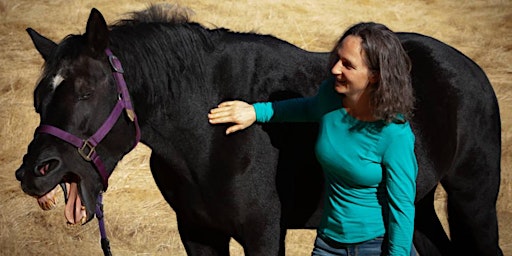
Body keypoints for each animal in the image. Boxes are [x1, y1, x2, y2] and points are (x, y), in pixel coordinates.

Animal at [14, 4, 502, 256]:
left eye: (85, 91)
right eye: (39, 98)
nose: (34, 172)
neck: (207, 133)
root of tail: (472, 70)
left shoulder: (264, 232)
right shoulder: (197, 232)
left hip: (473, 199)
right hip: (414, 204)